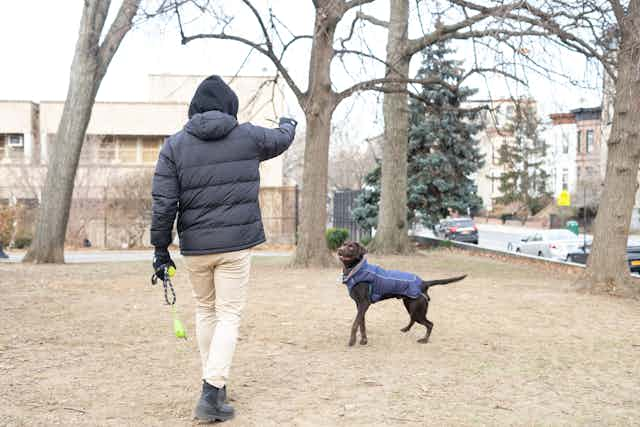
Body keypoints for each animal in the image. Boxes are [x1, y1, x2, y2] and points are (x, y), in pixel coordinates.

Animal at [338, 242, 468, 346]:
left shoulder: (364, 303)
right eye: (344, 244)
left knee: (429, 324)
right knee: (414, 319)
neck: (356, 270)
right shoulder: (359, 305)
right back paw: (406, 329)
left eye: (351, 247)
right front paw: (364, 340)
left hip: (417, 309)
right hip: (410, 305)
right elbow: (362, 324)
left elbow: (355, 324)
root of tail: (423, 283)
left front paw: (352, 341)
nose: (339, 249)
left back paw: (424, 340)